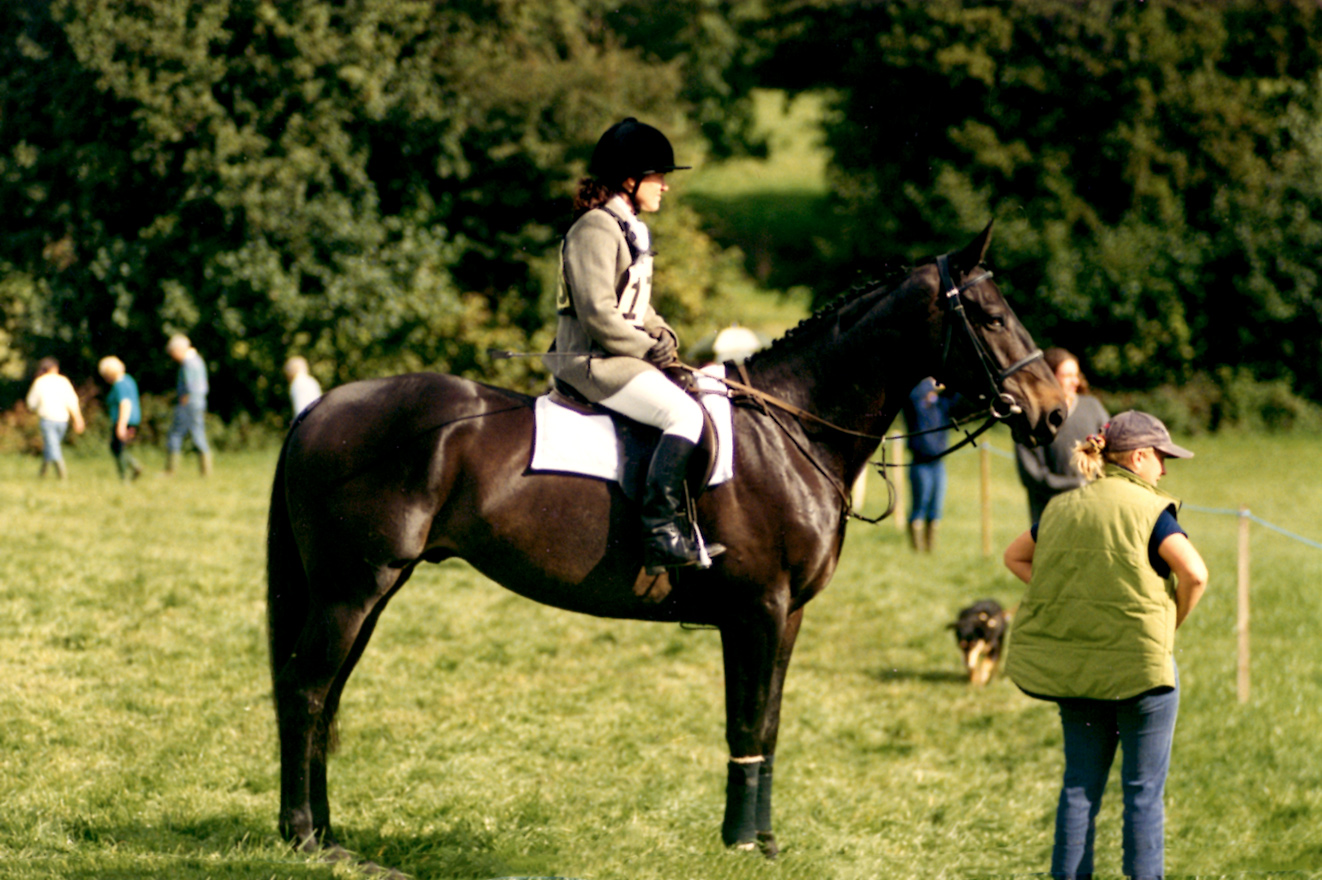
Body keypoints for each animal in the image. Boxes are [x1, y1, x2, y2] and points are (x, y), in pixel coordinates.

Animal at [265, 223, 1062, 861]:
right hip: (351, 590)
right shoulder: (756, 611)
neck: (790, 429)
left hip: (369, 593)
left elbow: (769, 724)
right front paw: (741, 842)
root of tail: (321, 408)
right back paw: (307, 837)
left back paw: (327, 832)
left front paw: (764, 839)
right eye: (992, 316)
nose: (1052, 414)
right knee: (307, 691)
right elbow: (746, 721)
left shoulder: (787, 617)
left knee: (326, 696)